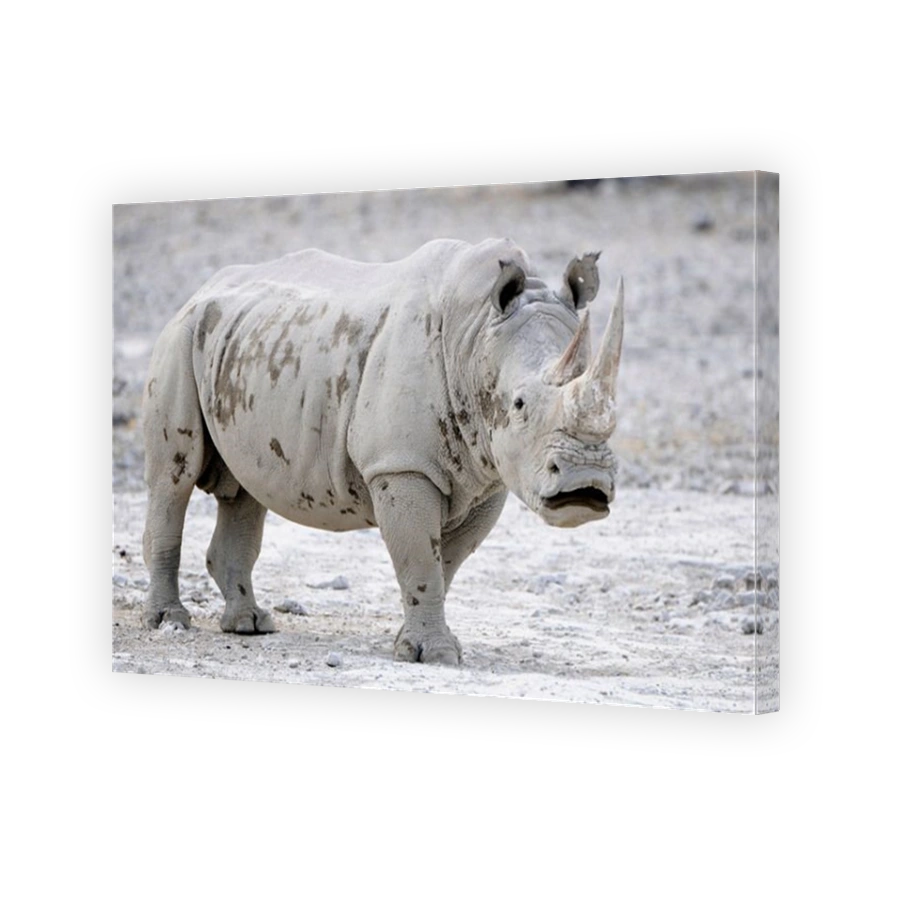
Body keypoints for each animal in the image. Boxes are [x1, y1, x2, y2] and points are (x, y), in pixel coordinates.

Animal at [141, 238, 624, 664]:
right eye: (520, 404)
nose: (586, 483)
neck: (477, 335)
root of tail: (199, 291)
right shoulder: (401, 466)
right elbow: (421, 558)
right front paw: (436, 655)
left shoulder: (489, 479)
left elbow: (444, 564)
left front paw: (417, 643)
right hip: (179, 339)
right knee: (173, 479)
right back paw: (170, 621)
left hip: (244, 345)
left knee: (245, 489)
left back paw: (249, 625)